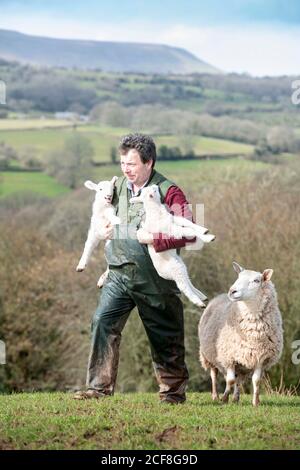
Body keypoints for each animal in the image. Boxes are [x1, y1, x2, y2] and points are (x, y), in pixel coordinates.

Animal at [199, 262, 284, 406]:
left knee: (238, 380)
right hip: (208, 355)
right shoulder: (228, 356)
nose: (232, 291)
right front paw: (224, 398)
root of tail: (219, 296)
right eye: (238, 277)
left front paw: (255, 402)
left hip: (241, 362)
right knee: (214, 375)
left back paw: (235, 398)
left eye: (256, 280)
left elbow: (256, 381)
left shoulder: (261, 358)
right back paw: (216, 396)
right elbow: (230, 380)